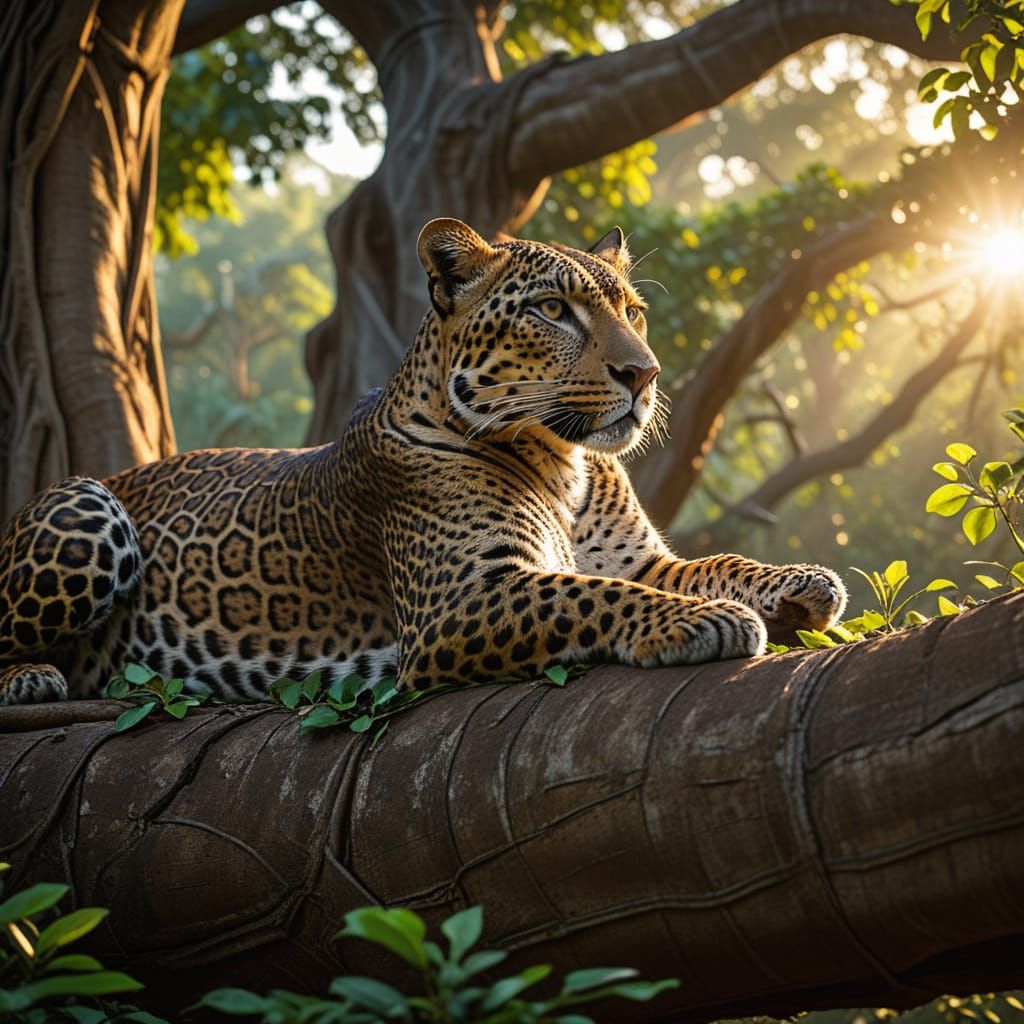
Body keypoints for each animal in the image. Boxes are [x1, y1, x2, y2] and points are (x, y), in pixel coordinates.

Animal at [0, 218, 846, 705]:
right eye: (552, 310)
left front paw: (801, 583)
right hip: (85, 507)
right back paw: (31, 678)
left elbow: (711, 562)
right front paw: (704, 619)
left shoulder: (640, 559)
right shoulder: (463, 597)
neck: (566, 461)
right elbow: (590, 595)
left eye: (631, 312)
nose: (646, 374)